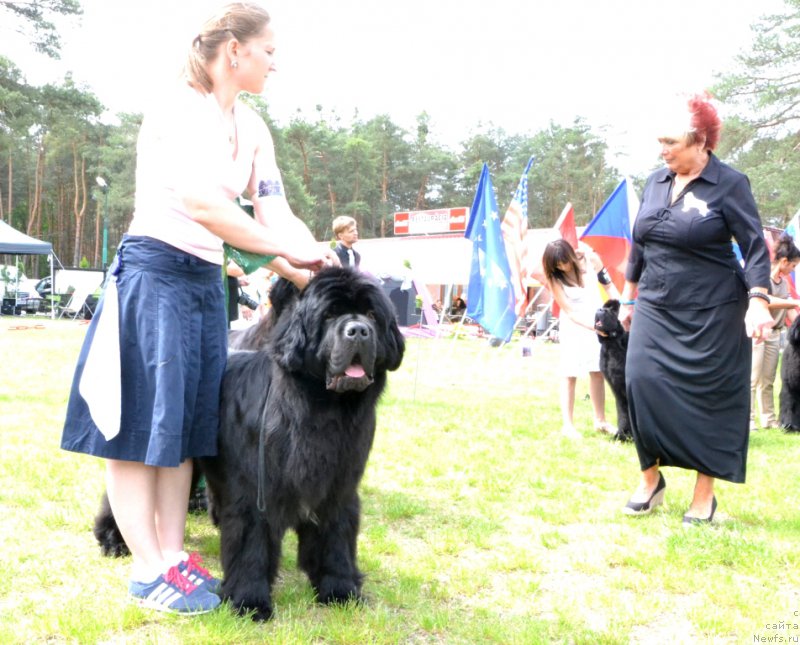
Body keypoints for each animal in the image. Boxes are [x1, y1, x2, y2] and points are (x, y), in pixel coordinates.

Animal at [94, 266, 406, 620]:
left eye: (372, 315)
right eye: (329, 316)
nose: (358, 331)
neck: (320, 409)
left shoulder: (338, 486)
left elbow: (336, 539)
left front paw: (340, 590)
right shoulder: (256, 488)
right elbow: (251, 545)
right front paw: (250, 601)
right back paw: (112, 540)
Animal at [592, 298, 632, 440]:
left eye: (612, 311)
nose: (600, 310)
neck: (611, 343)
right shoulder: (617, 388)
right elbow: (623, 413)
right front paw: (621, 435)